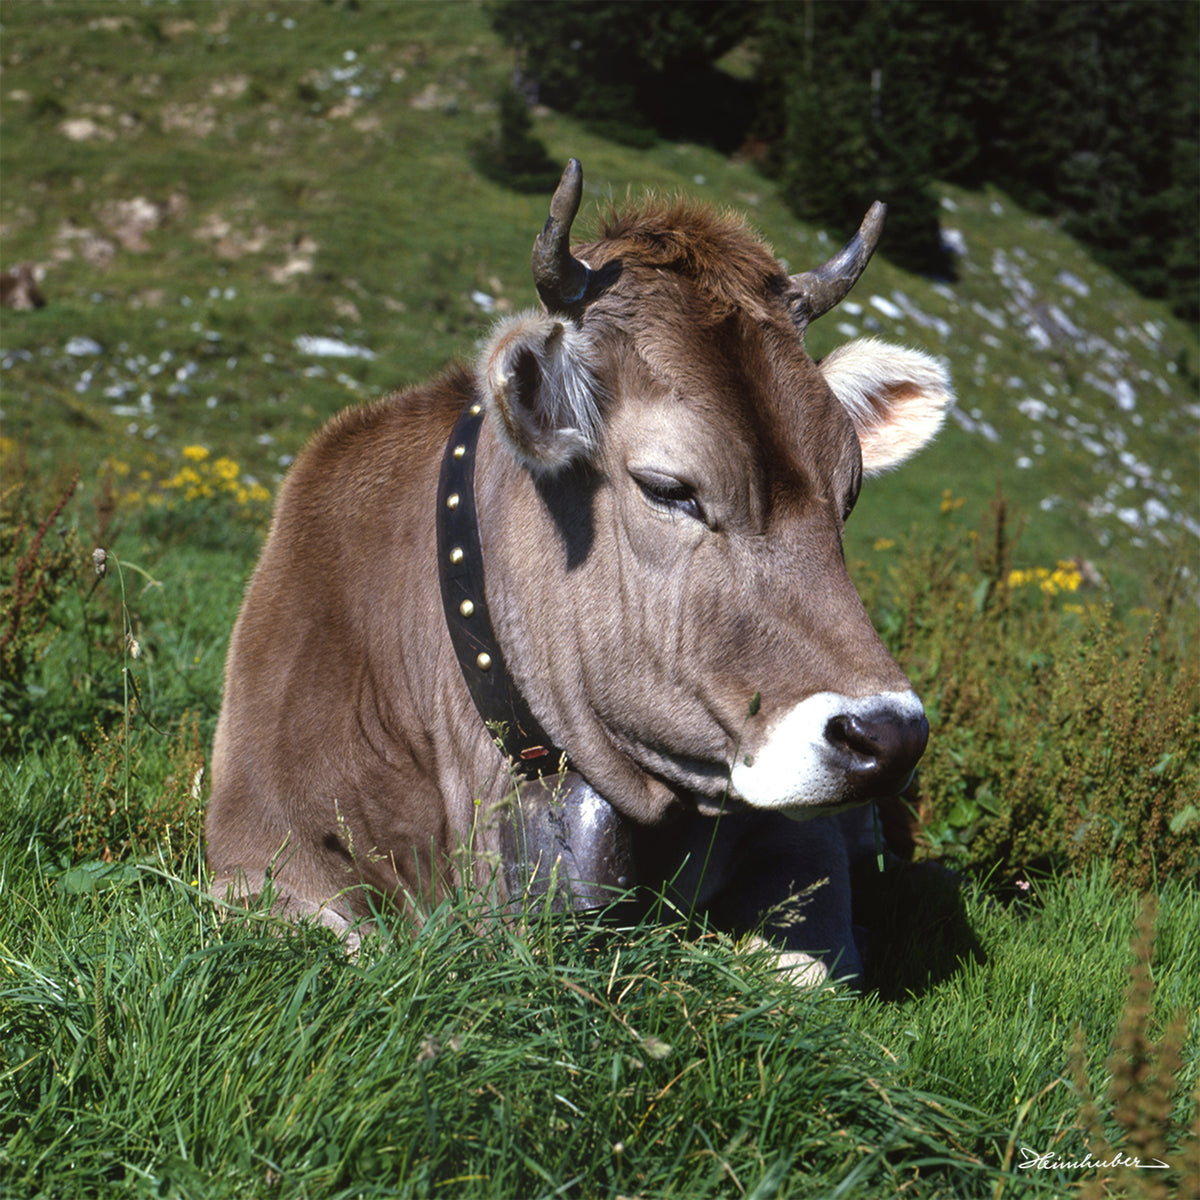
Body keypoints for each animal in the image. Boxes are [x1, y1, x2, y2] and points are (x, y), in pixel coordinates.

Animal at [207, 160, 953, 985]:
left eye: (847, 494)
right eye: (668, 487)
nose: (889, 735)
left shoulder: (802, 840)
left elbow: (806, 967)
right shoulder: (257, 854)